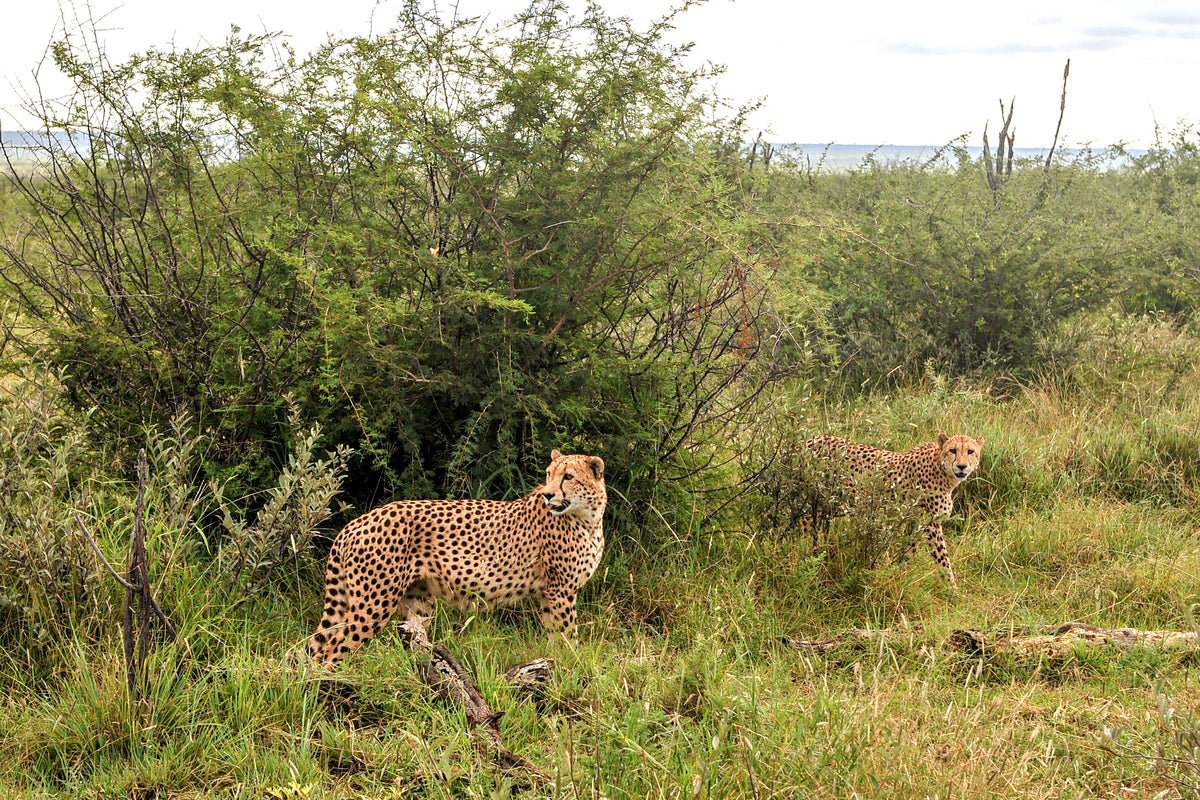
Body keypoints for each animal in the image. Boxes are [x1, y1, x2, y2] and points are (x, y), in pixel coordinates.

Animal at [306, 450, 607, 668]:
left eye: (568, 476)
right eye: (548, 474)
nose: (548, 494)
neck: (588, 517)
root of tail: (355, 522)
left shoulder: (549, 592)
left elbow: (555, 634)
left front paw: (558, 662)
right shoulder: (561, 590)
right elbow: (567, 632)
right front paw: (572, 663)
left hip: (416, 604)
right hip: (374, 604)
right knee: (329, 652)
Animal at [796, 433, 984, 586]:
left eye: (970, 451)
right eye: (953, 450)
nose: (962, 466)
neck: (942, 470)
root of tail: (812, 439)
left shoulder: (915, 522)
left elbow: (907, 551)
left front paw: (895, 573)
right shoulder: (930, 524)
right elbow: (942, 558)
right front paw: (952, 589)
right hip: (811, 505)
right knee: (807, 536)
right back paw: (810, 559)